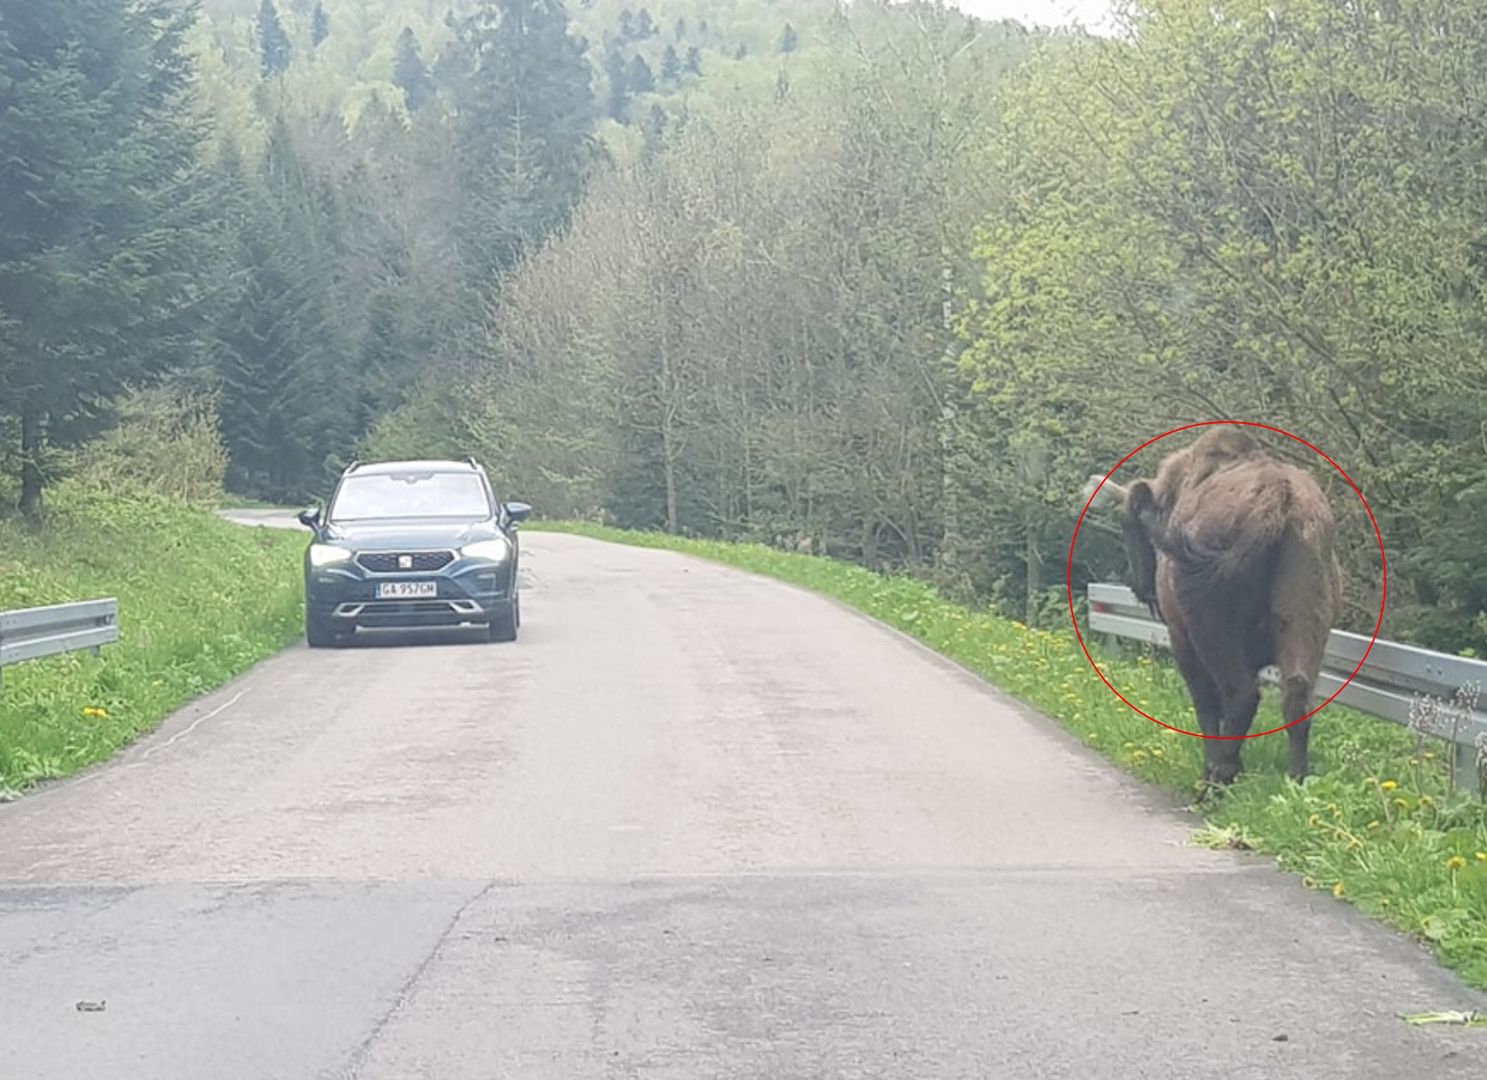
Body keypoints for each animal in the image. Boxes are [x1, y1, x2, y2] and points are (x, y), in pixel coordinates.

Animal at [1088, 428, 1344, 791]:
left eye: (1125, 522)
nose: (1139, 586)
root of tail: (1278, 502)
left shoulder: (1181, 637)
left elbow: (1206, 703)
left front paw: (1217, 765)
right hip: (1307, 611)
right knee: (1296, 692)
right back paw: (1296, 779)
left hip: (1211, 625)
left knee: (1242, 695)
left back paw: (1216, 780)